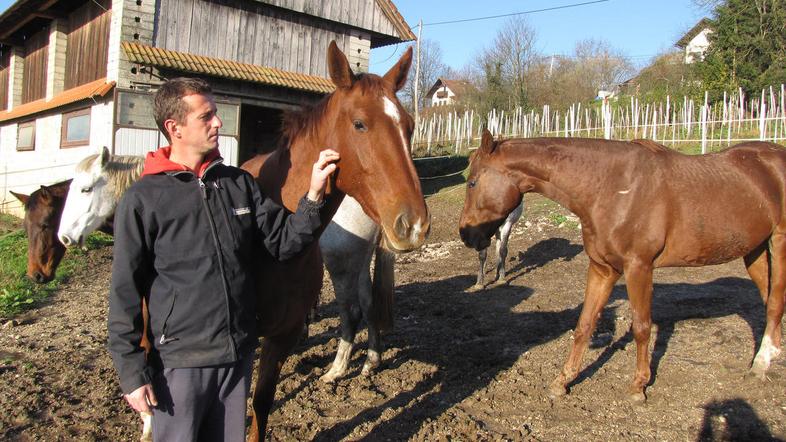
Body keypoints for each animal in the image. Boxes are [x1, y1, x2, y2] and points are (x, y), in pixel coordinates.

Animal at [460, 129, 784, 402]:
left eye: (472, 182)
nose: (466, 235)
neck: (611, 188)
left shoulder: (638, 267)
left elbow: (641, 326)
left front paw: (639, 386)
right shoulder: (602, 268)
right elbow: (584, 324)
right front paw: (563, 381)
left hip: (778, 242)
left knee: (775, 302)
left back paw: (761, 364)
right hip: (753, 250)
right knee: (768, 300)